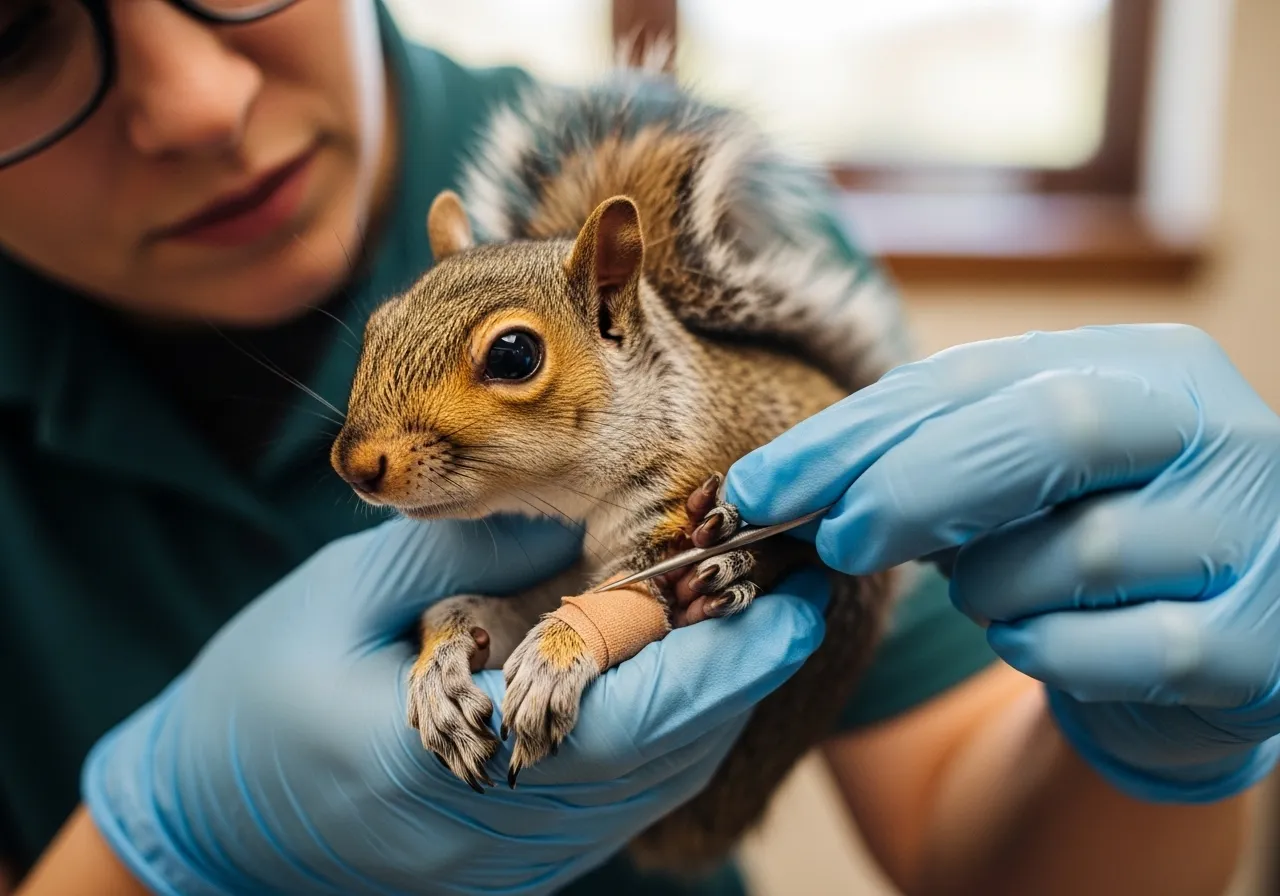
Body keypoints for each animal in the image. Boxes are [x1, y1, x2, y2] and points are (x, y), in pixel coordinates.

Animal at [331, 63, 913, 874]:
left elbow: (629, 602)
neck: (561, 500)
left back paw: (715, 583)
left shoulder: (669, 508)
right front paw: (439, 677)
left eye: (514, 353)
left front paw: (556, 658)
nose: (353, 464)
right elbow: (467, 611)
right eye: (379, 326)